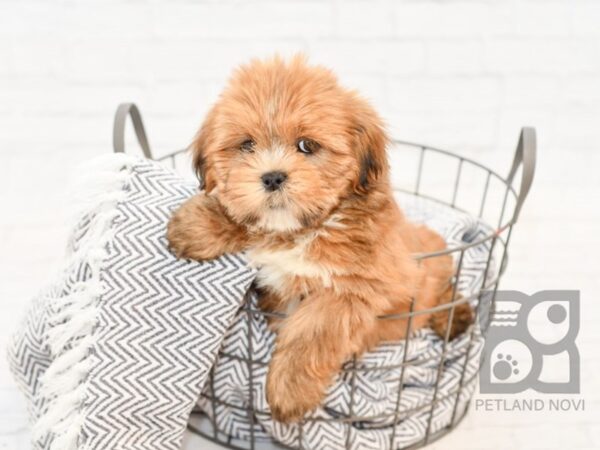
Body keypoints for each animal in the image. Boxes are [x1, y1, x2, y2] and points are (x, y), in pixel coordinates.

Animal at [166, 54, 472, 424]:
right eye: (247, 144)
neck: (307, 229)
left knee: (442, 288)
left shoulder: (360, 286)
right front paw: (197, 224)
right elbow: (244, 215)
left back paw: (453, 316)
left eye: (307, 146)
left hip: (432, 262)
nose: (272, 177)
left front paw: (289, 390)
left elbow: (312, 331)